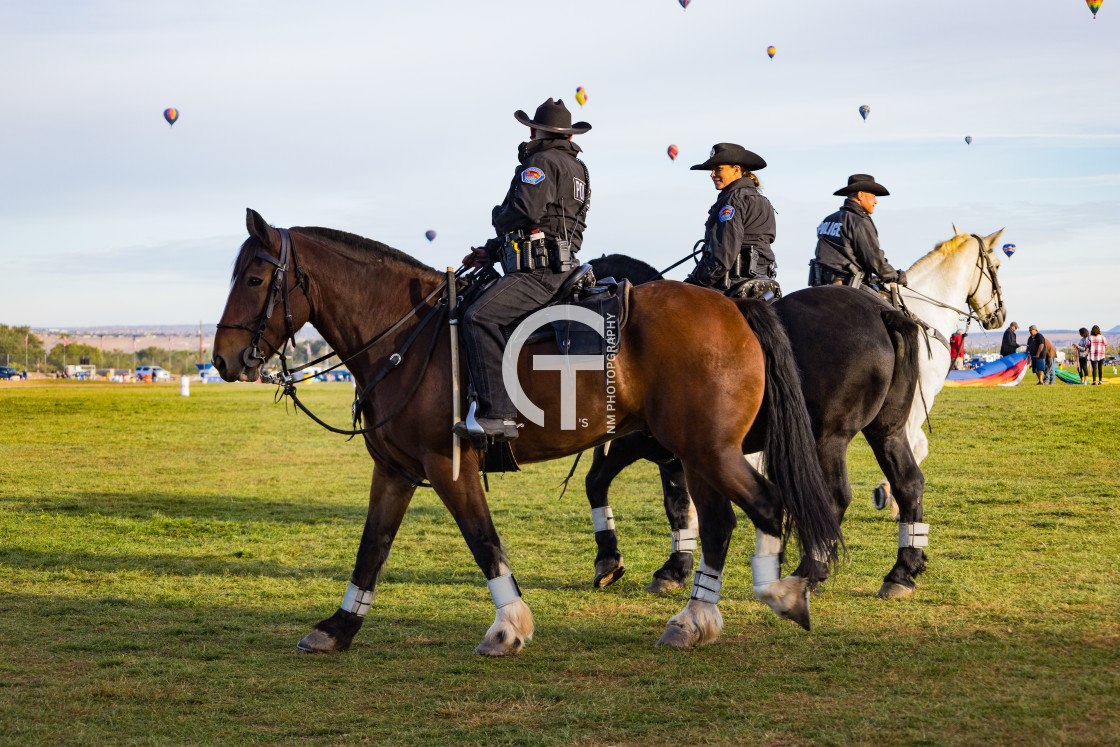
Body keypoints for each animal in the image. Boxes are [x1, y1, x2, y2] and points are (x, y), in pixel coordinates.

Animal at [211, 209, 842, 654]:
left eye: (255, 277)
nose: (223, 360)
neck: (409, 339)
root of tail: (733, 307)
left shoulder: (449, 468)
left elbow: (483, 541)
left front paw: (507, 627)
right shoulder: (394, 471)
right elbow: (372, 546)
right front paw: (339, 627)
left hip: (708, 451)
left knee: (768, 505)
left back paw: (783, 592)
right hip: (696, 454)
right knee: (718, 525)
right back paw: (695, 619)